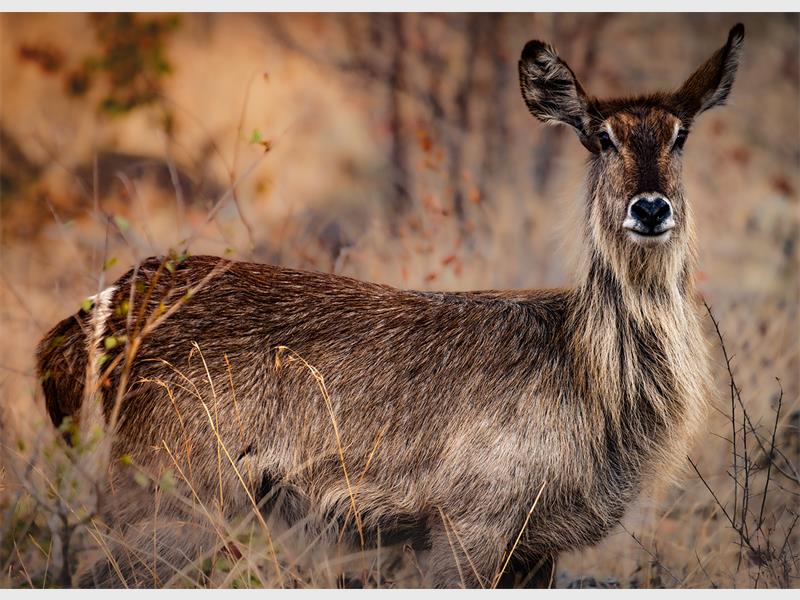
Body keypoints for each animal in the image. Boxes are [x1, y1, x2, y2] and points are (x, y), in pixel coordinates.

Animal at [36, 24, 745, 588]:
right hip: (166, 498)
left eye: (680, 134)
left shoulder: (537, 548)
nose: (650, 208)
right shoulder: (469, 524)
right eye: (601, 137)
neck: (591, 384)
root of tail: (107, 305)